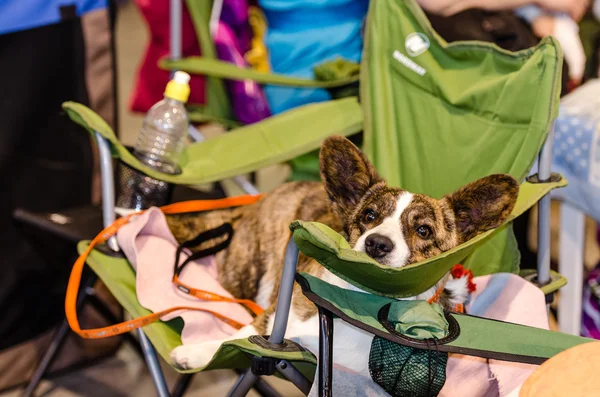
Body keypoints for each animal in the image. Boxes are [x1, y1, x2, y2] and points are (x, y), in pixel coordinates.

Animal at [166, 135, 516, 372]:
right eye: (370, 215)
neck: (359, 300)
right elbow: (242, 335)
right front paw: (197, 352)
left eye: (423, 231)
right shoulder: (273, 318)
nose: (377, 244)